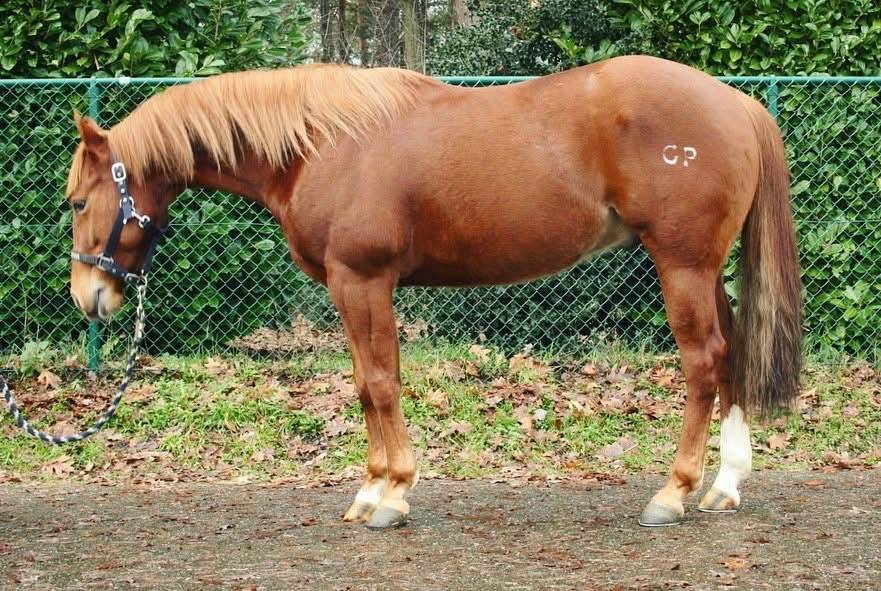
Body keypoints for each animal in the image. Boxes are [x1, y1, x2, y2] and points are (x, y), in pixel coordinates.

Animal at [66, 55, 802, 529]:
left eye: (76, 200)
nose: (88, 296)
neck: (319, 146)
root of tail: (734, 102)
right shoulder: (351, 288)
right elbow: (366, 384)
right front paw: (370, 491)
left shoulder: (363, 281)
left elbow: (380, 383)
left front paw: (390, 495)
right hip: (704, 270)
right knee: (733, 352)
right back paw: (724, 486)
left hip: (681, 265)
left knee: (704, 361)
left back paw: (672, 493)